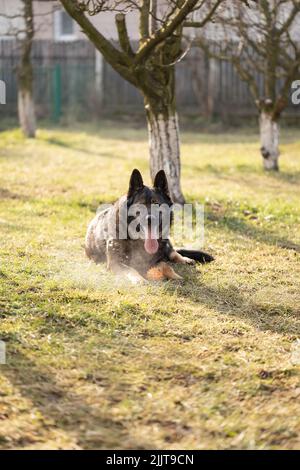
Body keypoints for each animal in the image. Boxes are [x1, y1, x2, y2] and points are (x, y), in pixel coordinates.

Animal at [84, 170, 213, 282]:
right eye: (140, 205)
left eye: (156, 203)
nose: (150, 219)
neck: (139, 241)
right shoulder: (115, 263)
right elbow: (130, 269)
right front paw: (139, 279)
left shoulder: (156, 260)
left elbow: (166, 265)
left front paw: (175, 276)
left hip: (165, 242)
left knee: (172, 252)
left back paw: (185, 259)